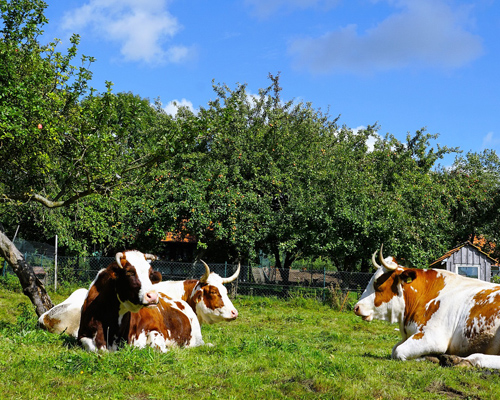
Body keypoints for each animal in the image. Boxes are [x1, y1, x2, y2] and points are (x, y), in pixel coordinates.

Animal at [356, 245, 500, 368]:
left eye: (378, 283)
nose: (356, 307)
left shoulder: (433, 338)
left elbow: (398, 351)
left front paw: (431, 357)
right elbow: (394, 349)